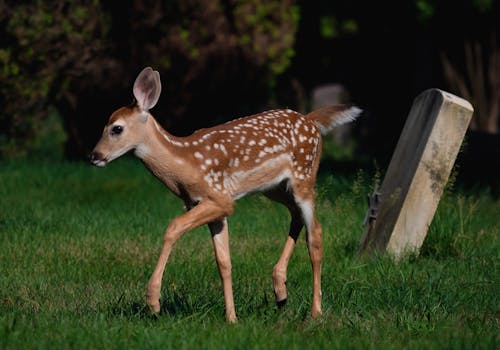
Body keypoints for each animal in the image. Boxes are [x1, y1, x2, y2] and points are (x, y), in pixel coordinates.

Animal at [90, 67, 362, 322]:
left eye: (116, 128)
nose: (94, 156)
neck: (185, 164)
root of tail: (311, 120)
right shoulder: (212, 208)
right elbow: (223, 262)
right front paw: (231, 317)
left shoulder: (220, 198)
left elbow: (173, 227)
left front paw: (153, 301)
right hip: (274, 188)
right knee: (296, 217)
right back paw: (280, 291)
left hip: (304, 176)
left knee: (315, 234)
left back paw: (315, 311)